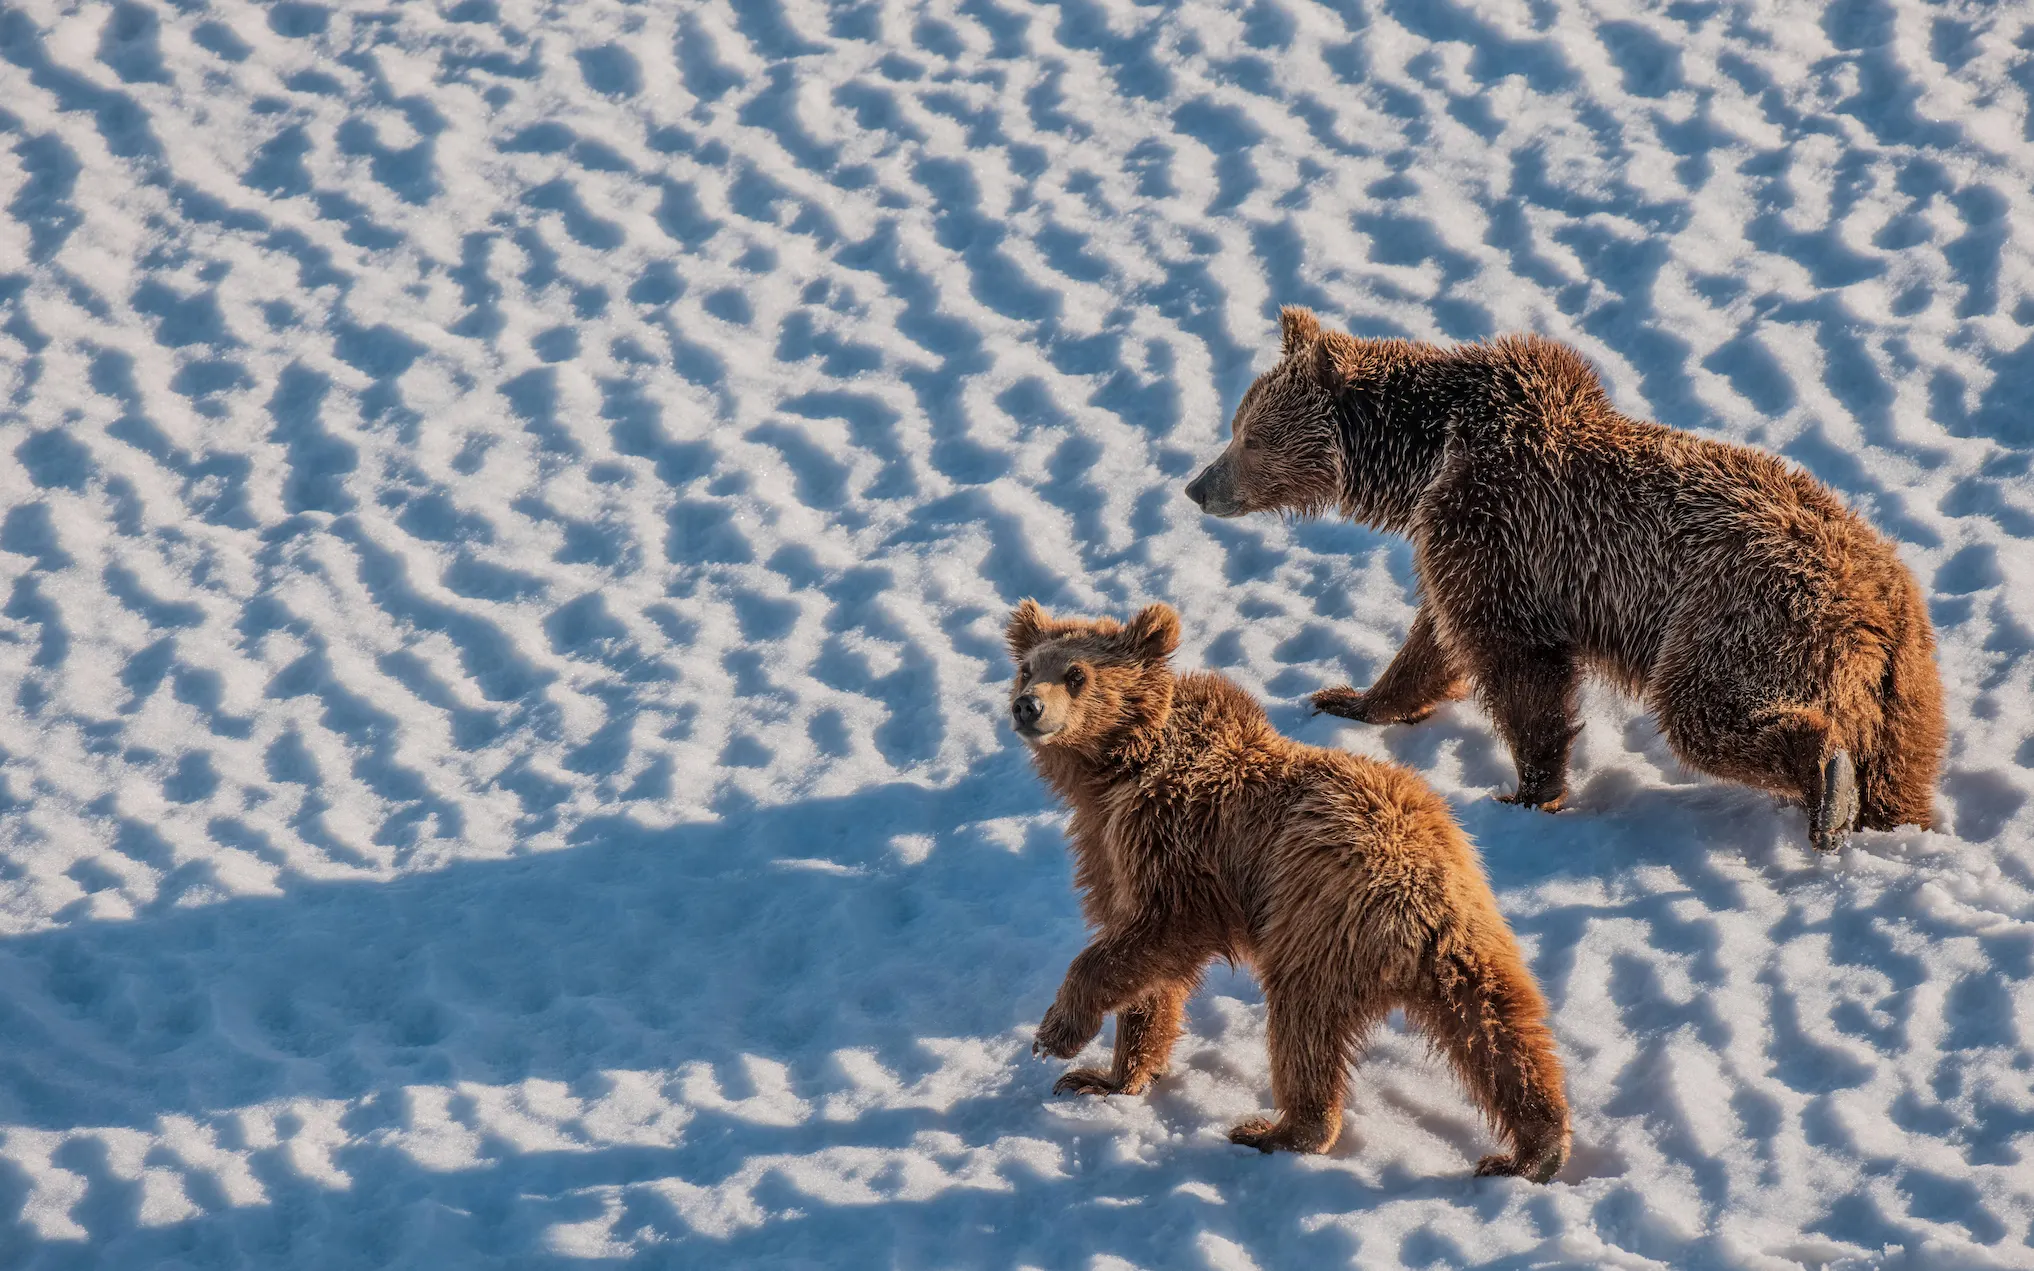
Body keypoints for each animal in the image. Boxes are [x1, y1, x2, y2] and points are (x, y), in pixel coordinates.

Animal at [1007, 599, 1571, 1181]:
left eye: (1076, 674)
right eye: (1027, 668)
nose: (1028, 706)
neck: (1117, 768)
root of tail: (1418, 899)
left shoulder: (1174, 840)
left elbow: (1153, 936)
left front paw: (1057, 1035)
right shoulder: (1112, 851)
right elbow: (1147, 972)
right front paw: (1107, 1078)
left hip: (1315, 923)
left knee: (1302, 1027)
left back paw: (1277, 1130)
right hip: (1475, 931)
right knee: (1502, 1027)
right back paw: (1535, 1148)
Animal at [1184, 307, 1945, 853]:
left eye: (1249, 434)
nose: (1197, 486)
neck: (1428, 455)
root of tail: (1876, 599)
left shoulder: (1500, 525)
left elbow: (1517, 664)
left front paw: (1527, 791)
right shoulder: (1468, 541)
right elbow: (1433, 640)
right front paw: (1350, 698)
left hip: (1743, 617)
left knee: (1706, 712)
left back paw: (1828, 785)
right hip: (1907, 680)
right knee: (1902, 762)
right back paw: (1883, 813)